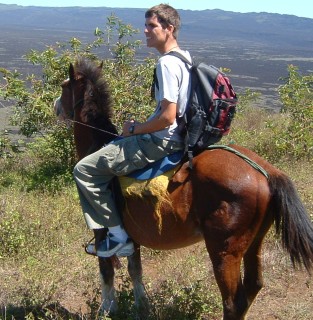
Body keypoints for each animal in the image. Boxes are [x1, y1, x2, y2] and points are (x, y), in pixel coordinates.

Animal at [54, 58, 312, 320]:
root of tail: (266, 171)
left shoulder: (101, 231)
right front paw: (141, 307)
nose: (56, 107)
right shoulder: (133, 238)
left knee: (232, 302)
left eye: (64, 87)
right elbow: (135, 270)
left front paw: (107, 309)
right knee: (253, 285)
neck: (99, 143)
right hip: (254, 241)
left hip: (224, 250)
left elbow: (106, 271)